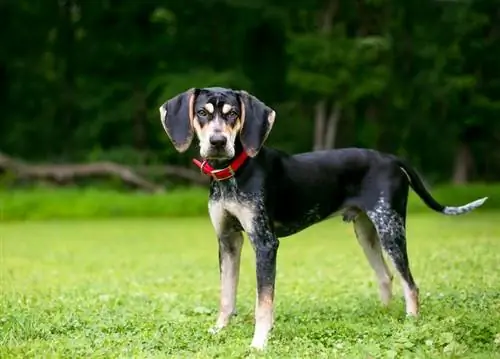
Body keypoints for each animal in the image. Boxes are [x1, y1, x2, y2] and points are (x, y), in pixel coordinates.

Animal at [160, 88, 488, 352]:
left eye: (233, 114)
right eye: (202, 112)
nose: (217, 142)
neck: (234, 172)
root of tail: (391, 158)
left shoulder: (265, 243)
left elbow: (263, 301)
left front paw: (259, 342)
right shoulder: (228, 240)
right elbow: (226, 295)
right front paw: (219, 330)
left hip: (391, 229)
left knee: (411, 284)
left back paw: (410, 322)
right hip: (367, 232)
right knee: (386, 276)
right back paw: (384, 316)